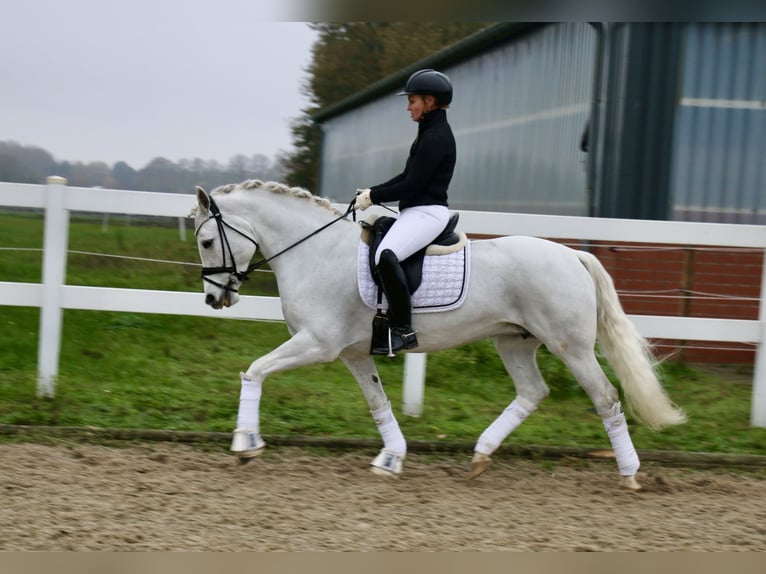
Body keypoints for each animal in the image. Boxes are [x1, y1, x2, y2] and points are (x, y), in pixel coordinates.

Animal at [192, 180, 688, 490]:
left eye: (206, 241)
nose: (214, 298)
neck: (315, 251)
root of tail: (572, 255)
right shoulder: (354, 353)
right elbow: (377, 403)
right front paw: (391, 459)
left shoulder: (318, 343)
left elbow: (254, 372)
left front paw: (245, 444)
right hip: (513, 341)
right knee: (533, 391)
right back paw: (481, 455)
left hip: (572, 347)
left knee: (605, 398)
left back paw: (630, 474)